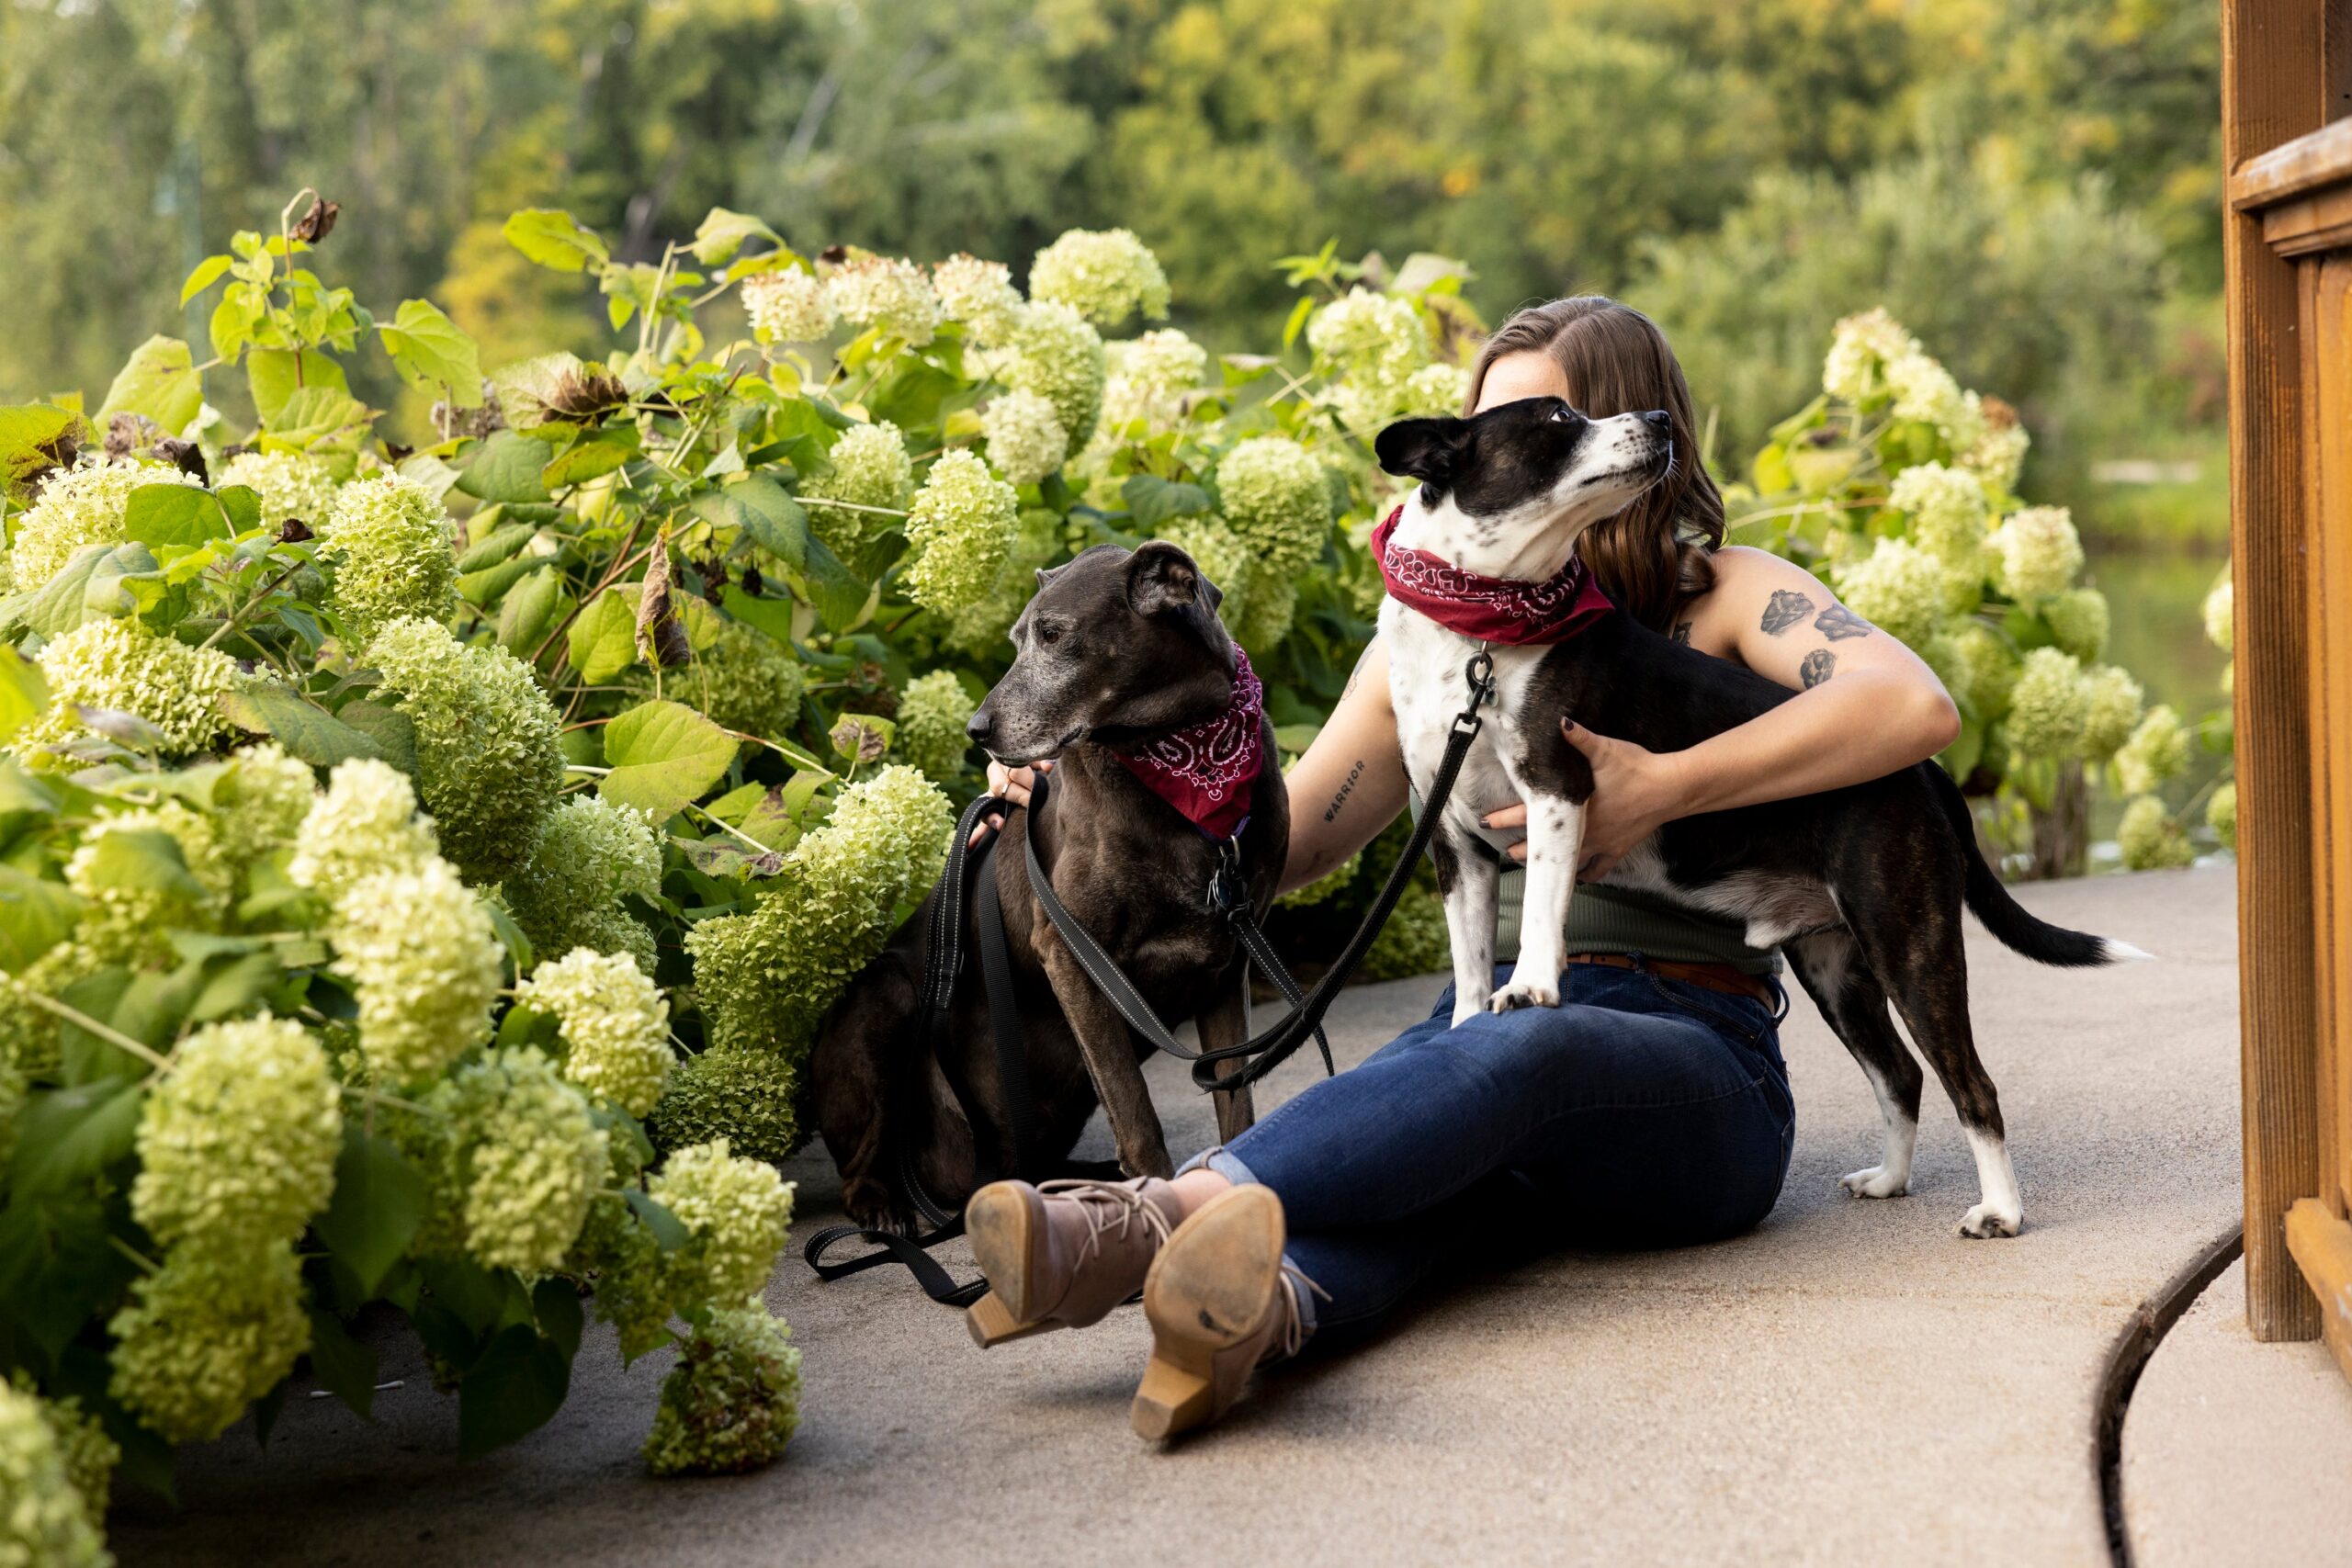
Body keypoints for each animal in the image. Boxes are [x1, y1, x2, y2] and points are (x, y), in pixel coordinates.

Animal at [813, 545, 1288, 1232]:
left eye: (1055, 636)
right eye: (1016, 640)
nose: (976, 730)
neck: (1185, 758)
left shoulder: (1225, 965)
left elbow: (1235, 1103)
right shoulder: (1071, 953)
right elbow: (1135, 1110)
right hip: (885, 1001)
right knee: (861, 1166)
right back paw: (884, 1206)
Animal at [1374, 400, 2154, 1241]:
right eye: (1556, 416)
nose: (1657, 417)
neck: (1480, 624)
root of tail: (1926, 771)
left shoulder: (1556, 789)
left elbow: (1542, 911)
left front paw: (1533, 988)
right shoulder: (1457, 848)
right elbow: (1470, 957)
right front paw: (1468, 1023)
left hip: (1908, 941)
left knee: (1969, 1081)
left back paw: (2001, 1211)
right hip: (1834, 964)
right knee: (1901, 1073)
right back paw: (1890, 1180)